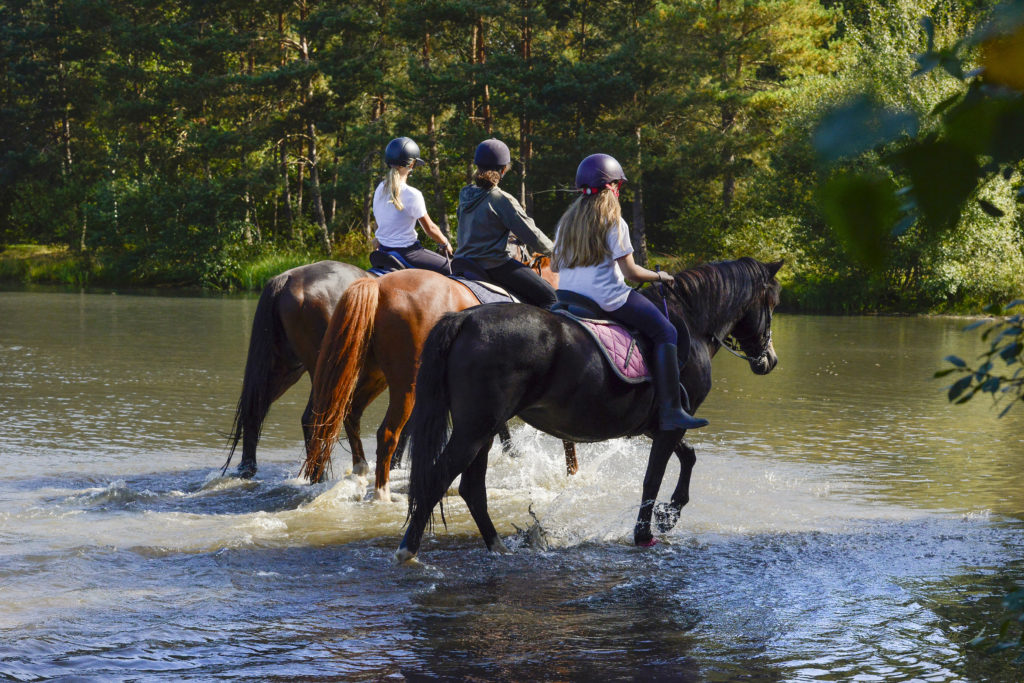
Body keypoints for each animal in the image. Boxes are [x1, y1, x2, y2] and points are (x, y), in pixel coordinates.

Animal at [224, 260, 373, 479]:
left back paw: (247, 469)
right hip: (322, 371)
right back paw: (319, 475)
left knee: (253, 412)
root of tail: (287, 279)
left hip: (284, 369)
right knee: (313, 419)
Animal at [300, 257, 575, 501]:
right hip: (406, 384)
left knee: (351, 413)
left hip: (373, 375)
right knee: (387, 433)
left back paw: (360, 472)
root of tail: (378, 286)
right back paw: (382, 493)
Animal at [397, 257, 783, 563]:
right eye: (773, 302)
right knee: (438, 478)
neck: (692, 321)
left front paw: (669, 514)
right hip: (476, 429)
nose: (770, 360)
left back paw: (496, 546)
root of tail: (464, 320)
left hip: (484, 429)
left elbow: (688, 457)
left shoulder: (660, 425)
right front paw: (646, 534)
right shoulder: (672, 424)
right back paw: (408, 551)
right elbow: (653, 478)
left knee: (471, 488)